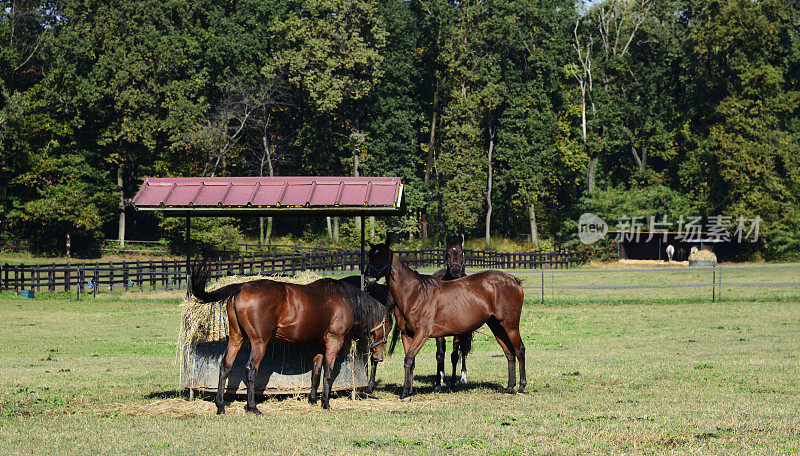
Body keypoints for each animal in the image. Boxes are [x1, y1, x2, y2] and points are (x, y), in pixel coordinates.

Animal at [194, 260, 394, 414]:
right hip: (259, 342)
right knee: (251, 369)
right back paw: (252, 407)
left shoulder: (318, 345)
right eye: (388, 327)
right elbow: (328, 372)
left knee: (225, 367)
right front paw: (325, 403)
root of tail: (241, 287)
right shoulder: (334, 341)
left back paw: (221, 406)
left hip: (236, 338)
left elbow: (316, 371)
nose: (380, 355)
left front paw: (313, 400)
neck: (344, 300)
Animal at [366, 237, 528, 400]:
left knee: (519, 350)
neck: (415, 293)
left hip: (510, 325)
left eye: (382, 256)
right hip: (496, 326)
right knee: (509, 352)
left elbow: (409, 359)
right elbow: (411, 362)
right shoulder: (407, 335)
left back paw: (521, 387)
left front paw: (405, 393)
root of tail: (513, 279)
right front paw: (410, 390)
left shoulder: (422, 334)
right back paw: (509, 387)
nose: (368, 277)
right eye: (369, 255)